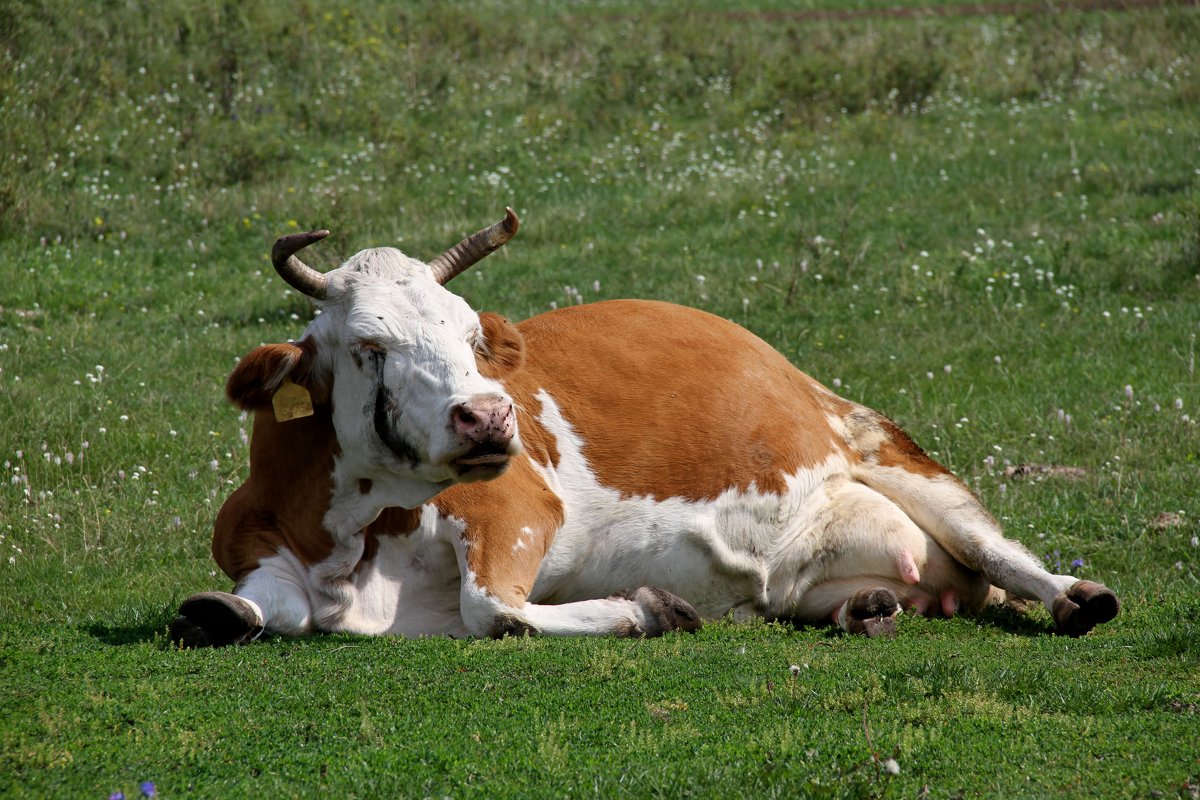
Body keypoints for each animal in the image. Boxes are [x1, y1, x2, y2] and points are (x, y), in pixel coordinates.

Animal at [166, 209, 1113, 647]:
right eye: (368, 346)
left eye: (470, 335)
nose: (489, 415)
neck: (352, 548)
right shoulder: (261, 551)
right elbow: (234, 609)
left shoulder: (517, 511)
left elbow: (493, 609)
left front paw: (647, 608)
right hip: (807, 573)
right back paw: (868, 608)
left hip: (887, 448)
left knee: (1000, 552)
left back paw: (1075, 595)